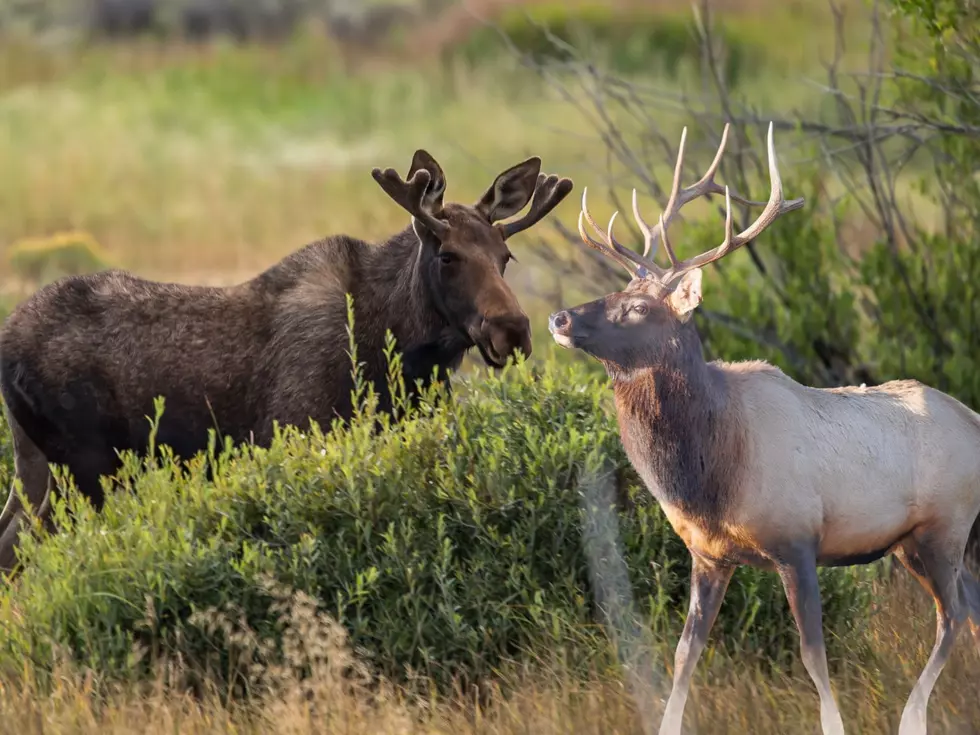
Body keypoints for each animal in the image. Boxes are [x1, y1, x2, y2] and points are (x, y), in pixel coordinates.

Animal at [0, 149, 573, 576]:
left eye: (505, 257)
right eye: (447, 255)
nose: (512, 330)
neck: (403, 357)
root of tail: (7, 346)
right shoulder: (289, 430)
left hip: (33, 463)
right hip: (85, 466)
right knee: (31, 547)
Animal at [548, 122, 980, 735]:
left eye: (635, 308)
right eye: (612, 290)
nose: (560, 318)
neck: (713, 471)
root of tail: (975, 420)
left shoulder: (797, 539)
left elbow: (813, 655)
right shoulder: (708, 554)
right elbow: (684, 653)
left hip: (945, 524)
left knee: (953, 614)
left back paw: (913, 715)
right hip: (912, 544)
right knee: (972, 604)